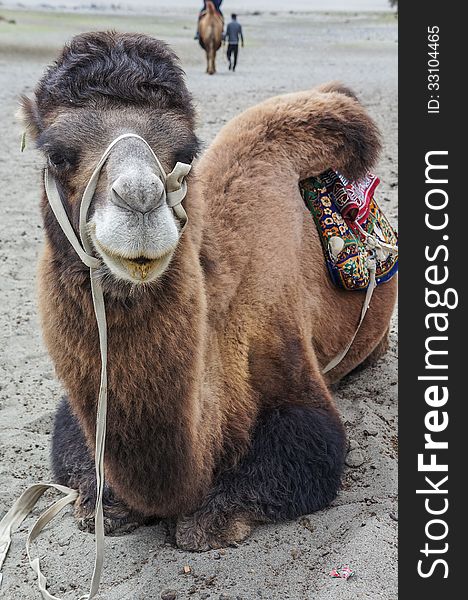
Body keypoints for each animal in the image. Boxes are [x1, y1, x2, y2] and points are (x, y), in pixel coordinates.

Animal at [19, 30, 398, 552]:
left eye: (185, 153)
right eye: (56, 155)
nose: (140, 199)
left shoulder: (291, 367)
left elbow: (309, 450)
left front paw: (206, 519)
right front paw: (106, 504)